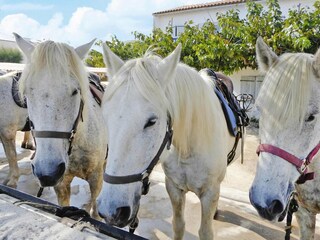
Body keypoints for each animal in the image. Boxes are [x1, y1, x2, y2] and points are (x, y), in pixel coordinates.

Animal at [14, 33, 107, 219]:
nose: (47, 173)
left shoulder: (96, 179)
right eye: (27, 93)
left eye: (75, 91)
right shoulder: (61, 184)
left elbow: (95, 208)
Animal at [97, 44, 240, 239]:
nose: (110, 211)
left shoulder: (210, 192)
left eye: (151, 121)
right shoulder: (173, 186)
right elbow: (178, 225)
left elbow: (205, 231)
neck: (188, 149)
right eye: (105, 117)